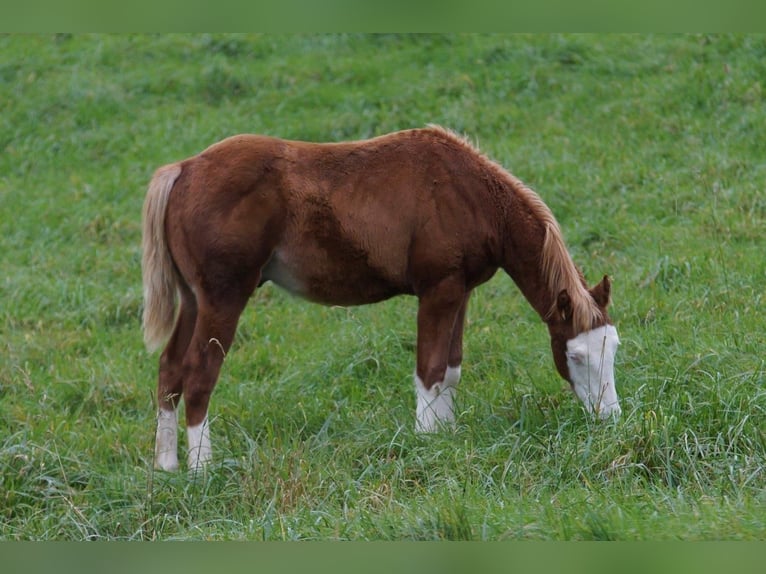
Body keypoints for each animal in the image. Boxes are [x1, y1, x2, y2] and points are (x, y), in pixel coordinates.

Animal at [142, 126, 624, 472]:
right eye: (575, 356)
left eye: (614, 348)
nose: (609, 418)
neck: (469, 192)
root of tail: (183, 169)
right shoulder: (438, 290)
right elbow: (429, 370)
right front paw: (427, 444)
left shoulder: (461, 291)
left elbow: (450, 369)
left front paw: (446, 434)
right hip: (223, 299)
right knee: (200, 374)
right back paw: (202, 470)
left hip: (194, 301)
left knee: (170, 369)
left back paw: (166, 466)